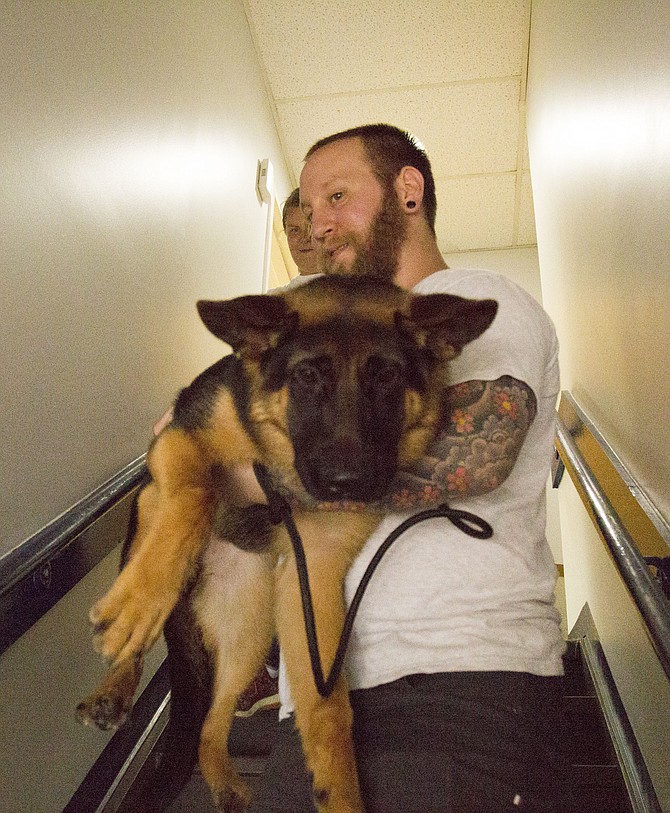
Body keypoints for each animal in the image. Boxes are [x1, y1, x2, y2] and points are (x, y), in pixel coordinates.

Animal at [79, 276, 498, 808]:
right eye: (306, 376)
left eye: (386, 376)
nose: (347, 483)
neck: (277, 460)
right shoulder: (179, 439)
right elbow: (197, 491)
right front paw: (141, 603)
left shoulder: (312, 576)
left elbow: (328, 711)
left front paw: (339, 794)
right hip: (152, 507)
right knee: (141, 626)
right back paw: (116, 677)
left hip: (250, 626)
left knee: (210, 726)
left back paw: (225, 782)